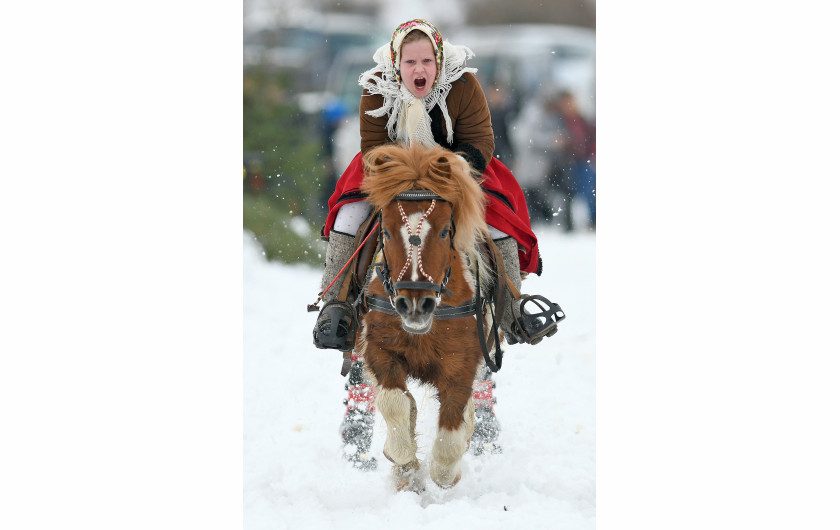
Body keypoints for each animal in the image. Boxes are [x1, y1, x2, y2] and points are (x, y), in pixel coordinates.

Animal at [356, 142, 498, 488]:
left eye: (446, 231)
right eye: (386, 232)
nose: (415, 304)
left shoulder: (462, 365)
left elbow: (448, 447)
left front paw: (447, 470)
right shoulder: (379, 350)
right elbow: (395, 403)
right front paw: (403, 462)